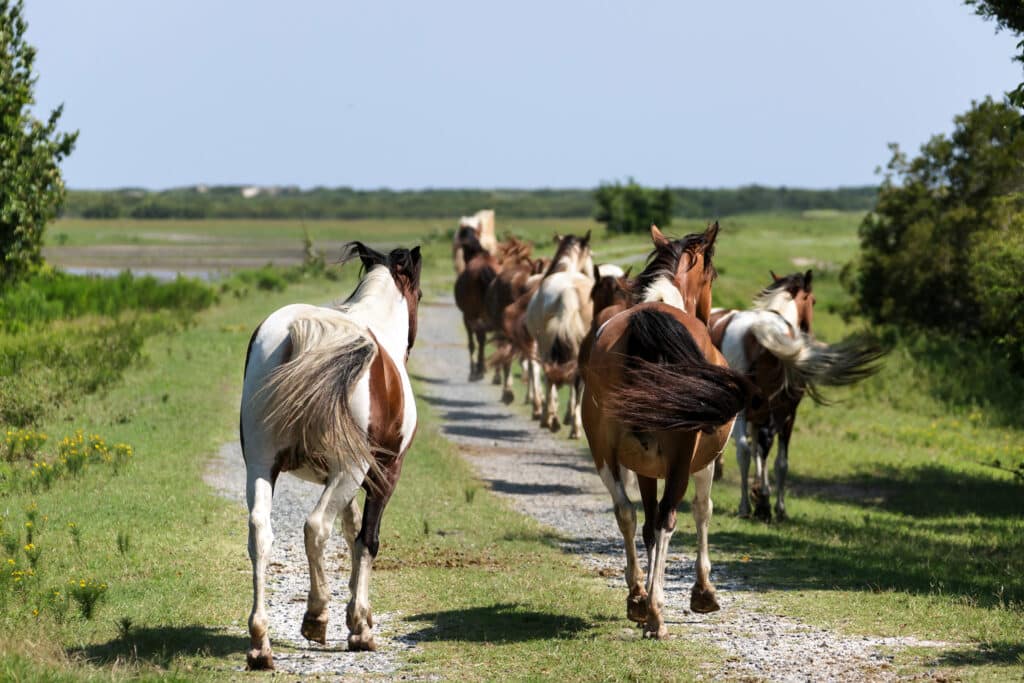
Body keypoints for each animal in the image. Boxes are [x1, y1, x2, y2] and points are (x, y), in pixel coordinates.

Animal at [452, 235, 499, 382]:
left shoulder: (467, 317)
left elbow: (472, 344)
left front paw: (475, 370)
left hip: (474, 315)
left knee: (481, 339)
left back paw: (478, 372)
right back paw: (496, 376)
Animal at [524, 233, 598, 438]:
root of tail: (568, 293)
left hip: (546, 347)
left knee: (552, 376)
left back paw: (551, 419)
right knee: (576, 381)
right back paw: (575, 426)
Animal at [581, 224, 757, 643]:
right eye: (712, 275)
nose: (708, 313)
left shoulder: (644, 466)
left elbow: (645, 521)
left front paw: (641, 597)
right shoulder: (702, 462)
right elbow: (702, 510)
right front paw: (703, 592)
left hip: (603, 451)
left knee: (626, 512)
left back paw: (638, 597)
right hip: (680, 457)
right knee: (667, 520)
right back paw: (656, 613)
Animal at [708, 270, 884, 520]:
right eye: (813, 301)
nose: (808, 329)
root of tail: (759, 331)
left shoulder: (772, 413)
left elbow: (769, 455)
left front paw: (763, 497)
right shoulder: (782, 413)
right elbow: (769, 455)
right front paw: (769, 502)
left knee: (752, 448)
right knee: (747, 449)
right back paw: (746, 505)